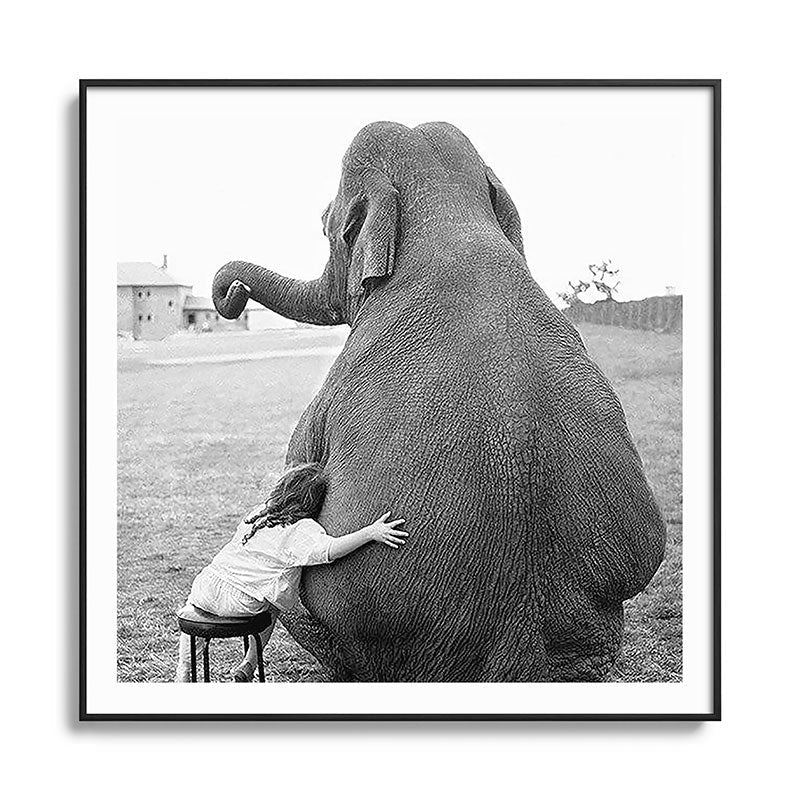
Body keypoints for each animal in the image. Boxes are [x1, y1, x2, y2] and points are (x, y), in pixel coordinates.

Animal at [212, 121, 666, 682]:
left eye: (324, 223)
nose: (231, 293)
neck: (449, 215)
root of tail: (518, 655)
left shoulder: (328, 394)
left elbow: (297, 470)